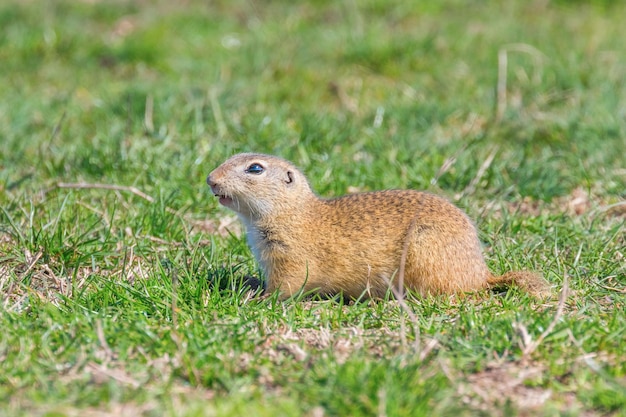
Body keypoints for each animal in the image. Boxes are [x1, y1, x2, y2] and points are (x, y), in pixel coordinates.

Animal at [205, 153, 544, 300]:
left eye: (255, 168)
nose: (210, 179)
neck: (292, 213)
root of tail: (481, 274)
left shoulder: (290, 258)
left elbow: (286, 286)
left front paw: (257, 299)